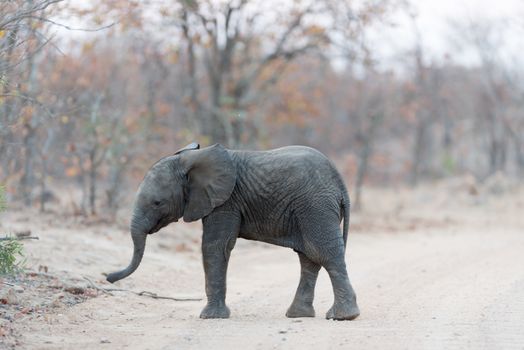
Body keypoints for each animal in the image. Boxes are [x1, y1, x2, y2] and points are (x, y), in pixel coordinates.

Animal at [107, 142, 360, 320]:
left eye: (157, 203)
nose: (108, 277)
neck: (192, 159)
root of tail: (340, 183)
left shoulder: (226, 201)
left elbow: (215, 246)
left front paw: (210, 317)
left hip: (315, 206)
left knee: (323, 253)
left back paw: (343, 317)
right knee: (309, 257)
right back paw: (299, 315)